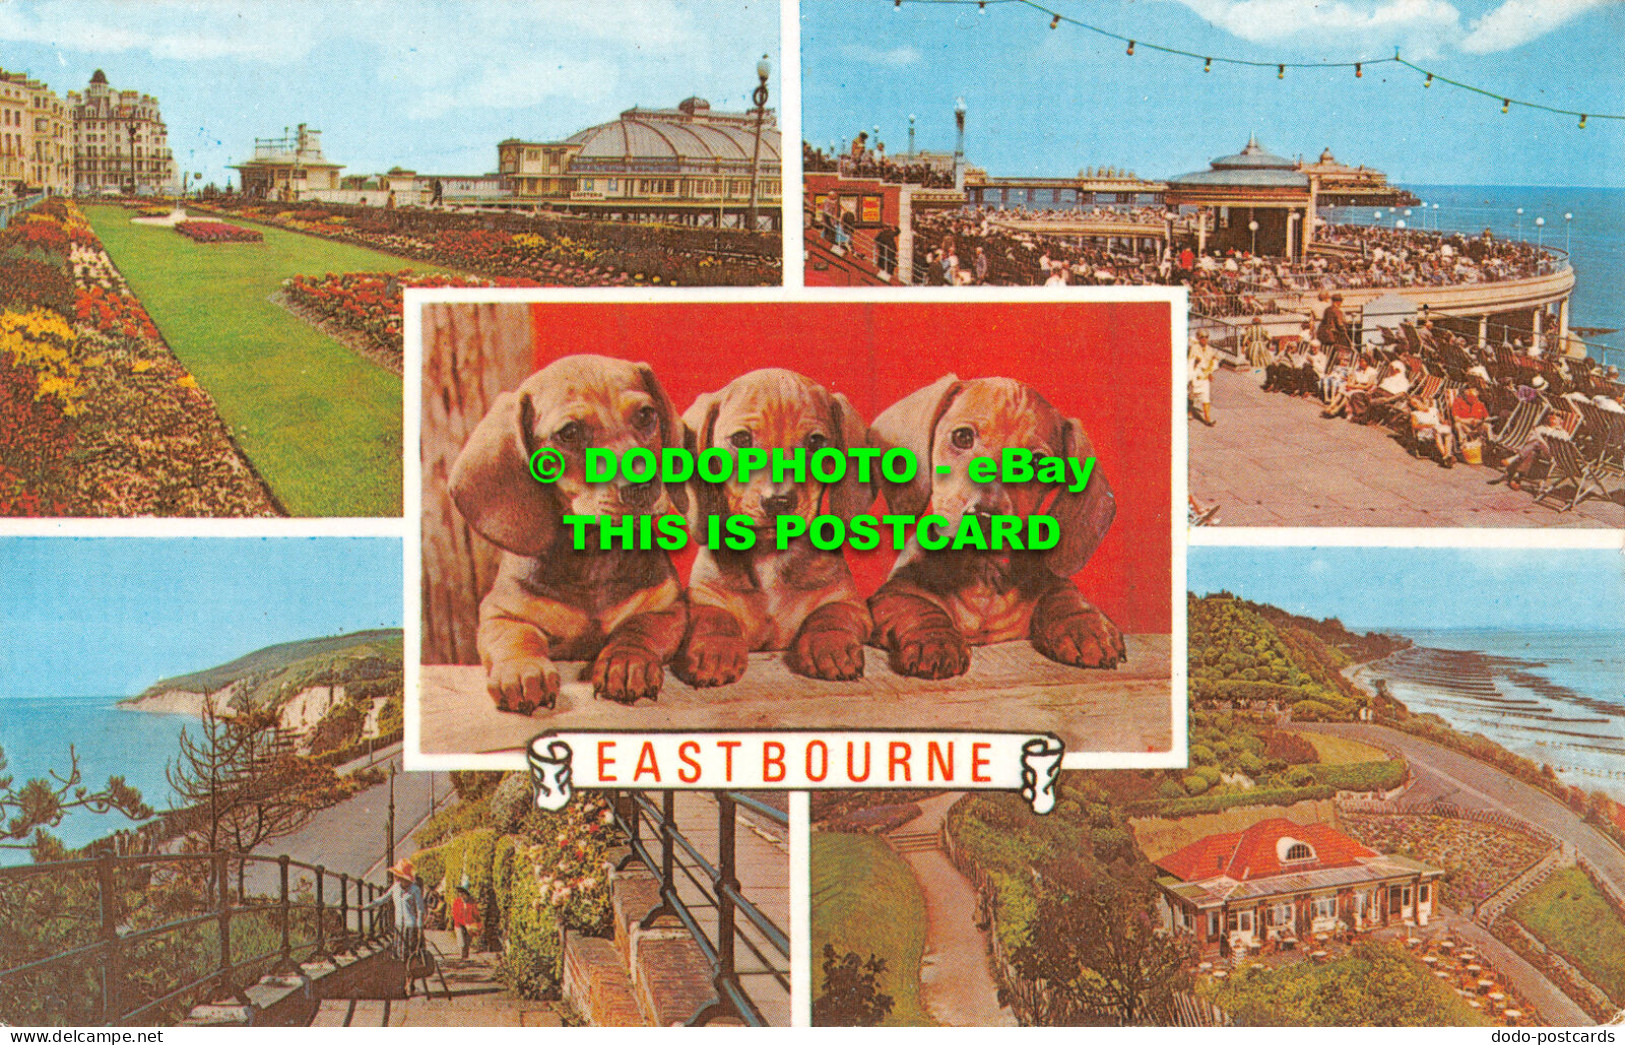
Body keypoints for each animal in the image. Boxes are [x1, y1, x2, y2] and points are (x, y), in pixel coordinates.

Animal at [448, 357, 689, 711]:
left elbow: (639, 628)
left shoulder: (668, 606)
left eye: (646, 415)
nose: (644, 487)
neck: (593, 556)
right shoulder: (500, 612)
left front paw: (627, 661)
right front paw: (523, 671)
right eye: (569, 432)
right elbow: (516, 636)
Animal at [672, 367, 877, 685]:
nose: (779, 501)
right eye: (741, 439)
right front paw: (715, 649)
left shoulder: (848, 601)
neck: (769, 555)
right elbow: (714, 618)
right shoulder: (701, 598)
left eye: (816, 442)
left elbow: (832, 615)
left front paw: (830, 644)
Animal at [871, 373, 1124, 679]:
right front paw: (935, 639)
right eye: (962, 437)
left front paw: (1085, 626)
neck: (983, 575)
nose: (984, 515)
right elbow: (916, 605)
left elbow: (1064, 594)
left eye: (1037, 462)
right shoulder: (888, 596)